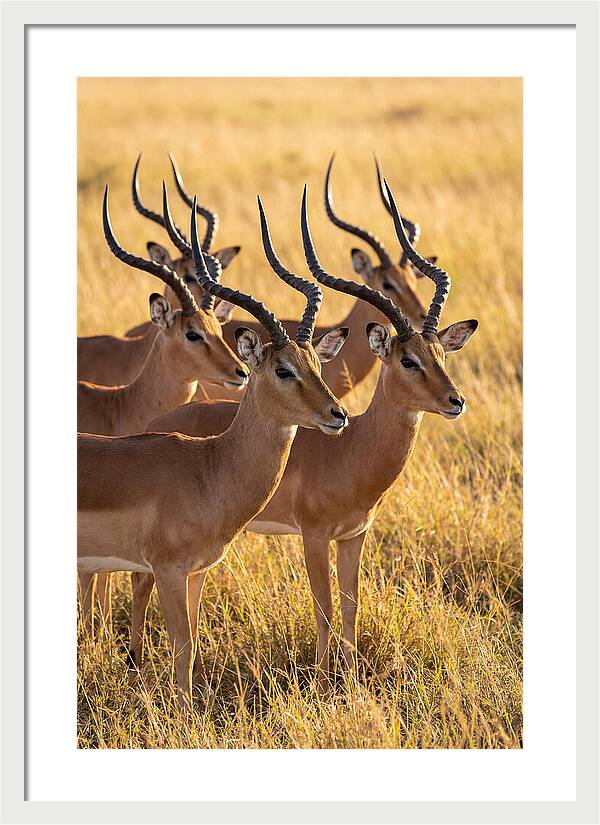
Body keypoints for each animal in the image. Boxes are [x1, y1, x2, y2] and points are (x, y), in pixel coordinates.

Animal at [77, 193, 349, 702]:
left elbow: (194, 639)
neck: (209, 469)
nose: (337, 414)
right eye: (282, 368)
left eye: (316, 363)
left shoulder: (197, 570)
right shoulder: (166, 569)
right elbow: (182, 648)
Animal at [128, 180, 478, 689]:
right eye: (408, 359)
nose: (455, 401)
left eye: (441, 355)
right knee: (140, 581)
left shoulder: (354, 536)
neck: (354, 450)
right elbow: (325, 608)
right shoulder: (314, 535)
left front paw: (349, 679)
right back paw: (133, 659)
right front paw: (323, 680)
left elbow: (351, 607)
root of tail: (158, 425)